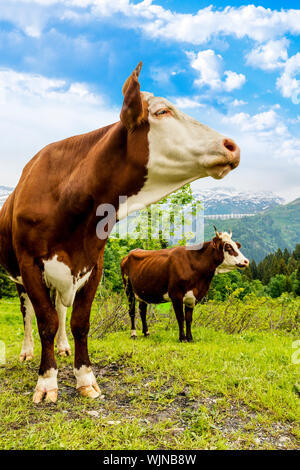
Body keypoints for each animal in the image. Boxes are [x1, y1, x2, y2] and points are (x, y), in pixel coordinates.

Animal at [120, 229, 250, 342]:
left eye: (236, 245)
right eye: (228, 246)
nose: (246, 261)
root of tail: (130, 253)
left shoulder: (193, 296)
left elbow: (189, 319)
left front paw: (190, 338)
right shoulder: (176, 294)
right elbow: (180, 317)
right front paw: (182, 338)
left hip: (142, 292)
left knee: (142, 311)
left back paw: (146, 333)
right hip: (128, 289)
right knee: (132, 311)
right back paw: (133, 334)